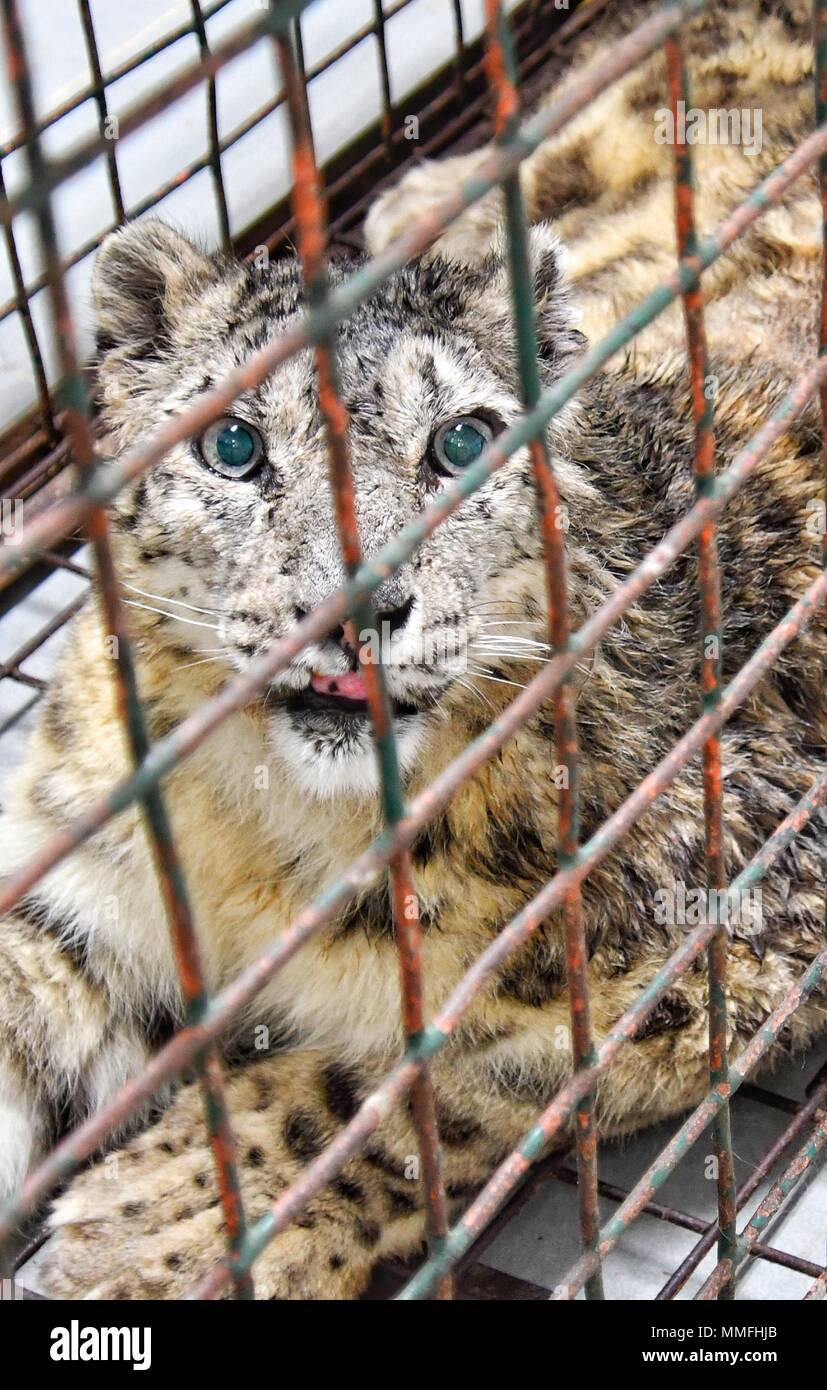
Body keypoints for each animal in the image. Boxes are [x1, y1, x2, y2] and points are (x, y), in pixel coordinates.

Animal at [1, 0, 826, 1299]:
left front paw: (154, 1226)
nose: (355, 605)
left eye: (462, 440)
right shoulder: (80, 873)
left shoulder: (736, 921)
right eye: (233, 444)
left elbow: (437, 1080)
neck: (265, 840)